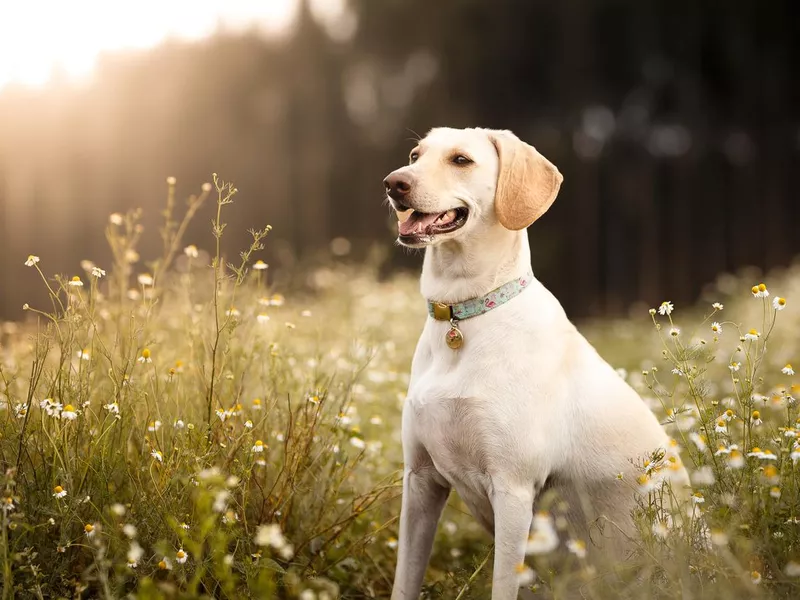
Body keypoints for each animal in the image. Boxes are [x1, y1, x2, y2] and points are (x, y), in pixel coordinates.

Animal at [384, 129, 692, 596]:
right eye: (415, 155)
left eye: (461, 160)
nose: (393, 183)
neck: (463, 315)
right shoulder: (419, 480)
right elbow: (405, 578)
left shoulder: (513, 491)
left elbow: (503, 585)